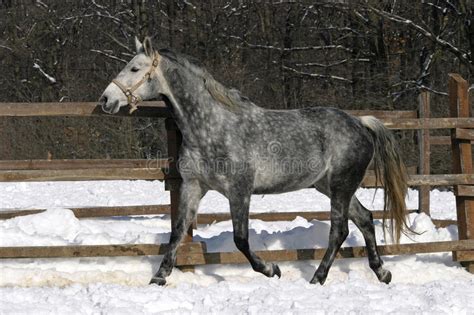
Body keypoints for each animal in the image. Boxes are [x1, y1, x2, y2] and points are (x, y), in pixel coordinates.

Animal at [98, 37, 410, 286]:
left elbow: (240, 239)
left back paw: (317, 278)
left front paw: (271, 269)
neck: (211, 127)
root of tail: (360, 122)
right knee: (365, 219)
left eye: (135, 68)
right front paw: (159, 277)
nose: (105, 100)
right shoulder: (193, 186)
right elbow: (176, 232)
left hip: (341, 186)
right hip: (330, 186)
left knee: (340, 230)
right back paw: (382, 273)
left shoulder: (240, 190)